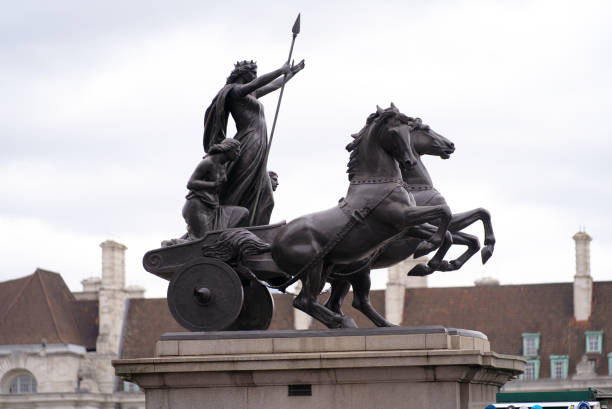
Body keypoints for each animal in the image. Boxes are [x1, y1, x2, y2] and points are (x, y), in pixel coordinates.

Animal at [272, 105, 454, 328]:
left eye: (409, 131)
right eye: (394, 132)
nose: (409, 161)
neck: (377, 182)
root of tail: (275, 243)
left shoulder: (408, 226)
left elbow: (448, 233)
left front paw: (429, 261)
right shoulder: (405, 217)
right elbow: (445, 211)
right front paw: (429, 249)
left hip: (331, 269)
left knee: (338, 301)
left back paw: (376, 324)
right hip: (316, 268)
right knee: (306, 301)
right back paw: (342, 321)